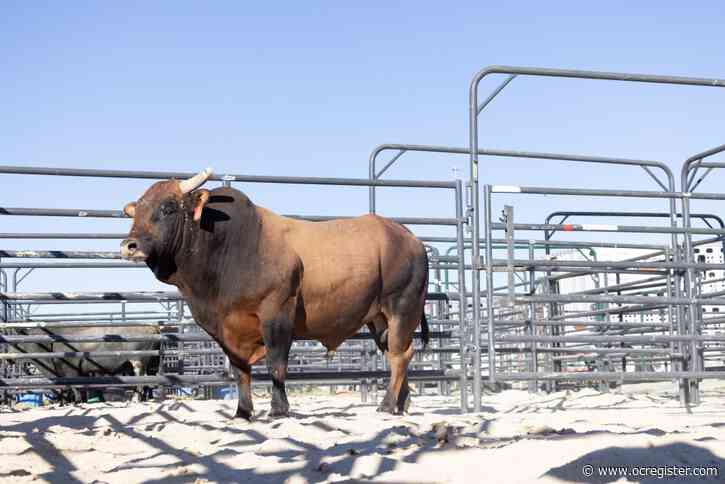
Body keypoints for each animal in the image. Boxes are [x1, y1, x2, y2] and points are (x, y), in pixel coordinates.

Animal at [121, 168, 428, 418]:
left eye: (168, 207)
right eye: (136, 212)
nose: (129, 245)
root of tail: (409, 237)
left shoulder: (277, 313)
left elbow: (276, 364)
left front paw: (279, 409)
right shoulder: (227, 331)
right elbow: (240, 372)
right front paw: (243, 412)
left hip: (402, 309)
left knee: (400, 355)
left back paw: (387, 405)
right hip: (378, 319)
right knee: (395, 354)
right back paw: (401, 404)